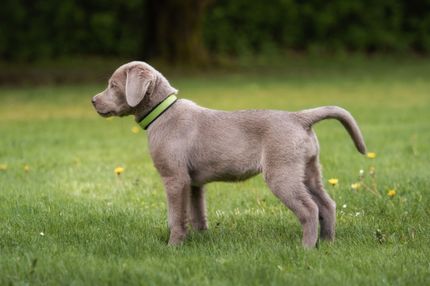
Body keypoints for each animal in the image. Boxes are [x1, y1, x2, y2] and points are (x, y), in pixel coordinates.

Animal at [91, 61, 366, 248]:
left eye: (113, 85)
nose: (93, 101)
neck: (162, 112)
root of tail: (299, 117)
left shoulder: (174, 178)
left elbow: (175, 217)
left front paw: (173, 246)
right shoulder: (193, 183)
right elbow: (197, 214)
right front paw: (201, 239)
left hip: (282, 173)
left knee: (309, 209)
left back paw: (306, 248)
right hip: (308, 170)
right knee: (327, 204)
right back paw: (328, 243)